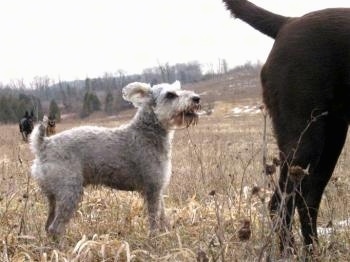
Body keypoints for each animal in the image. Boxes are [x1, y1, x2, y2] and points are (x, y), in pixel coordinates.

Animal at [30, 81, 200, 238]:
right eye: (170, 95)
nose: (197, 98)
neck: (147, 131)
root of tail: (44, 144)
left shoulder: (158, 190)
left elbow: (162, 216)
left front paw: (167, 234)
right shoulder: (152, 189)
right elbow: (153, 218)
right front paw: (155, 238)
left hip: (54, 198)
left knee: (48, 226)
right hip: (69, 193)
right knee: (55, 228)